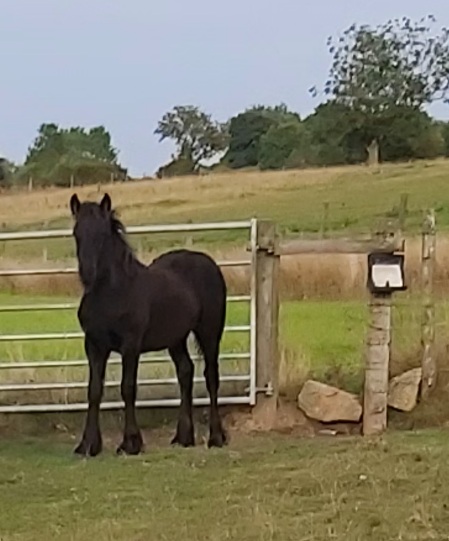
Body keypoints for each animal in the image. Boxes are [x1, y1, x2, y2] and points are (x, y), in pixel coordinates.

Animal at [70, 194, 228, 456]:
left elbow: (127, 388)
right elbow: (94, 390)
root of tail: (209, 264)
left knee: (211, 376)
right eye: (76, 233)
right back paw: (183, 437)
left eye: (102, 234)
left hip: (209, 333)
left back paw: (216, 437)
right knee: (185, 372)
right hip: (176, 339)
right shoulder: (94, 346)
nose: (87, 273)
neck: (113, 292)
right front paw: (88, 445)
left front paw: (130, 443)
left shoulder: (130, 346)